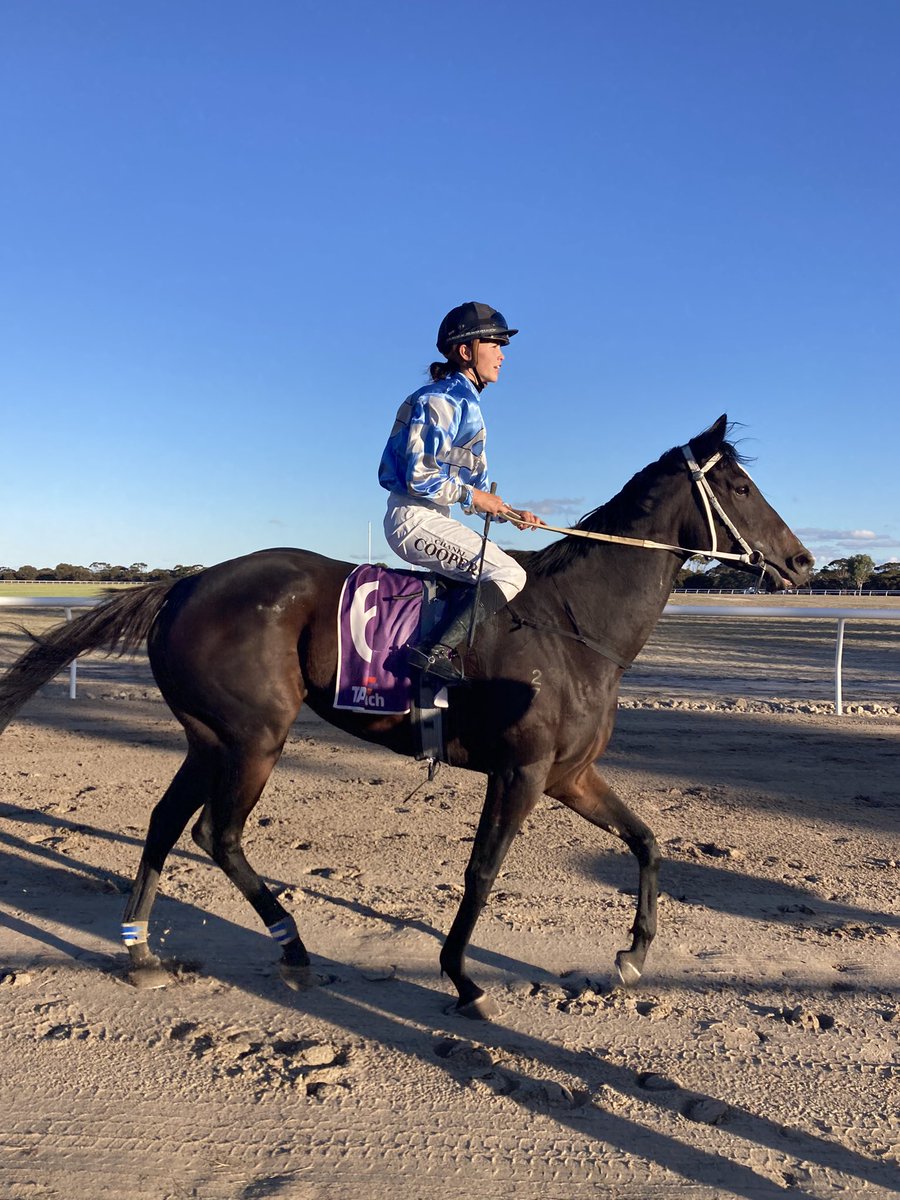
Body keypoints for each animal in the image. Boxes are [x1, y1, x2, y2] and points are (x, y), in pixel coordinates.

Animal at [0, 417, 816, 1017]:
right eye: (741, 484)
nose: (803, 562)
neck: (574, 625)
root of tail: (185, 582)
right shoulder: (520, 772)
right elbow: (482, 870)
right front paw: (462, 978)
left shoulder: (570, 775)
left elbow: (647, 842)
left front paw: (633, 956)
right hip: (255, 737)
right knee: (216, 833)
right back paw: (293, 949)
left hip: (210, 739)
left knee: (167, 823)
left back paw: (141, 953)